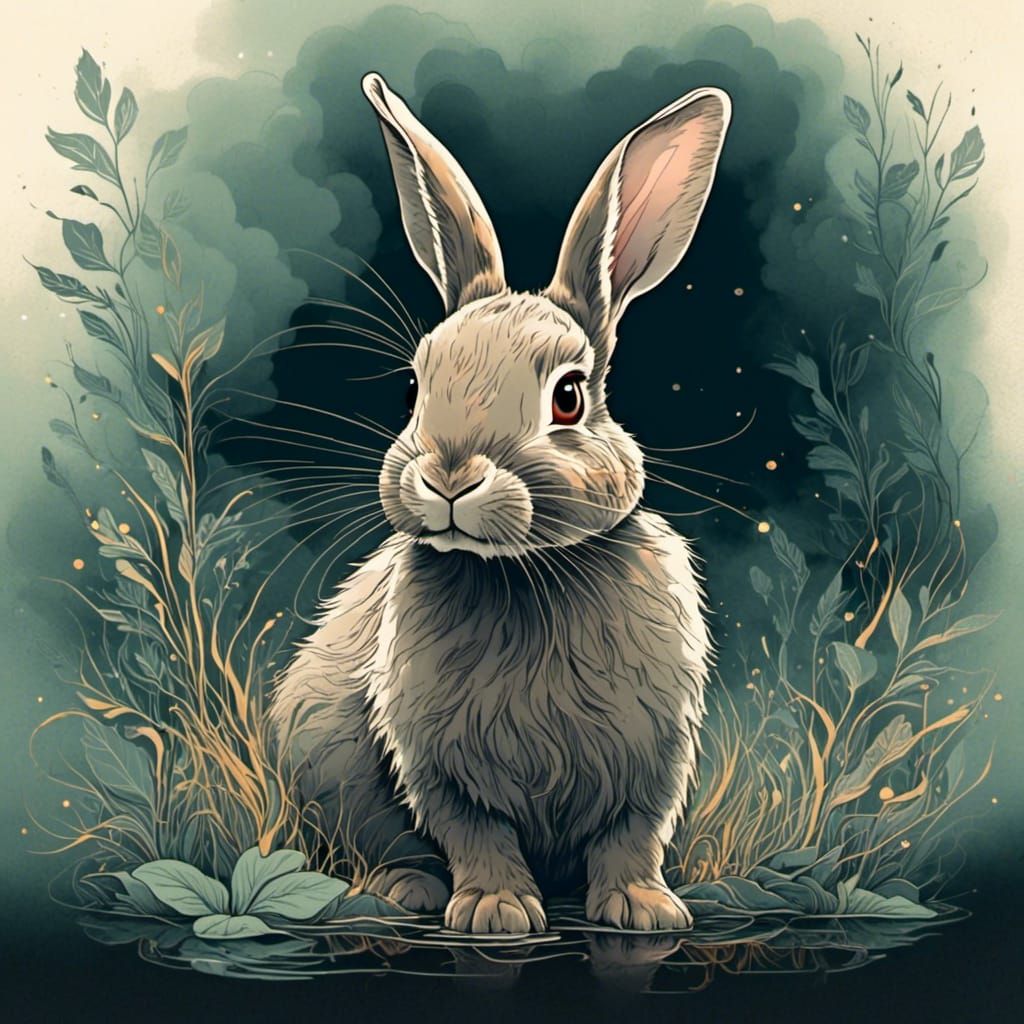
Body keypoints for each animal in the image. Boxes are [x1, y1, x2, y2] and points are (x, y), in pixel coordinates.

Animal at [269, 71, 731, 935]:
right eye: (414, 388)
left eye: (570, 398)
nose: (449, 477)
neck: (523, 573)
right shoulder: (434, 761)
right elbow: (472, 829)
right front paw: (496, 910)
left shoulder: (654, 757)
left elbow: (632, 834)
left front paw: (645, 909)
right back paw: (407, 889)